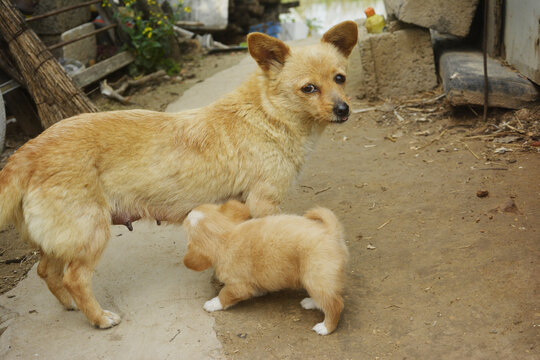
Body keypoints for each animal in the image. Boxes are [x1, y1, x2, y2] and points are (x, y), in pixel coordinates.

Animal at [184, 201, 348, 336]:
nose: (188, 210)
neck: (226, 235)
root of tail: (331, 232)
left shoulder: (238, 286)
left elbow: (224, 294)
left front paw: (213, 304)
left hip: (315, 278)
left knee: (335, 304)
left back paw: (325, 327)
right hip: (316, 281)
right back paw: (311, 302)